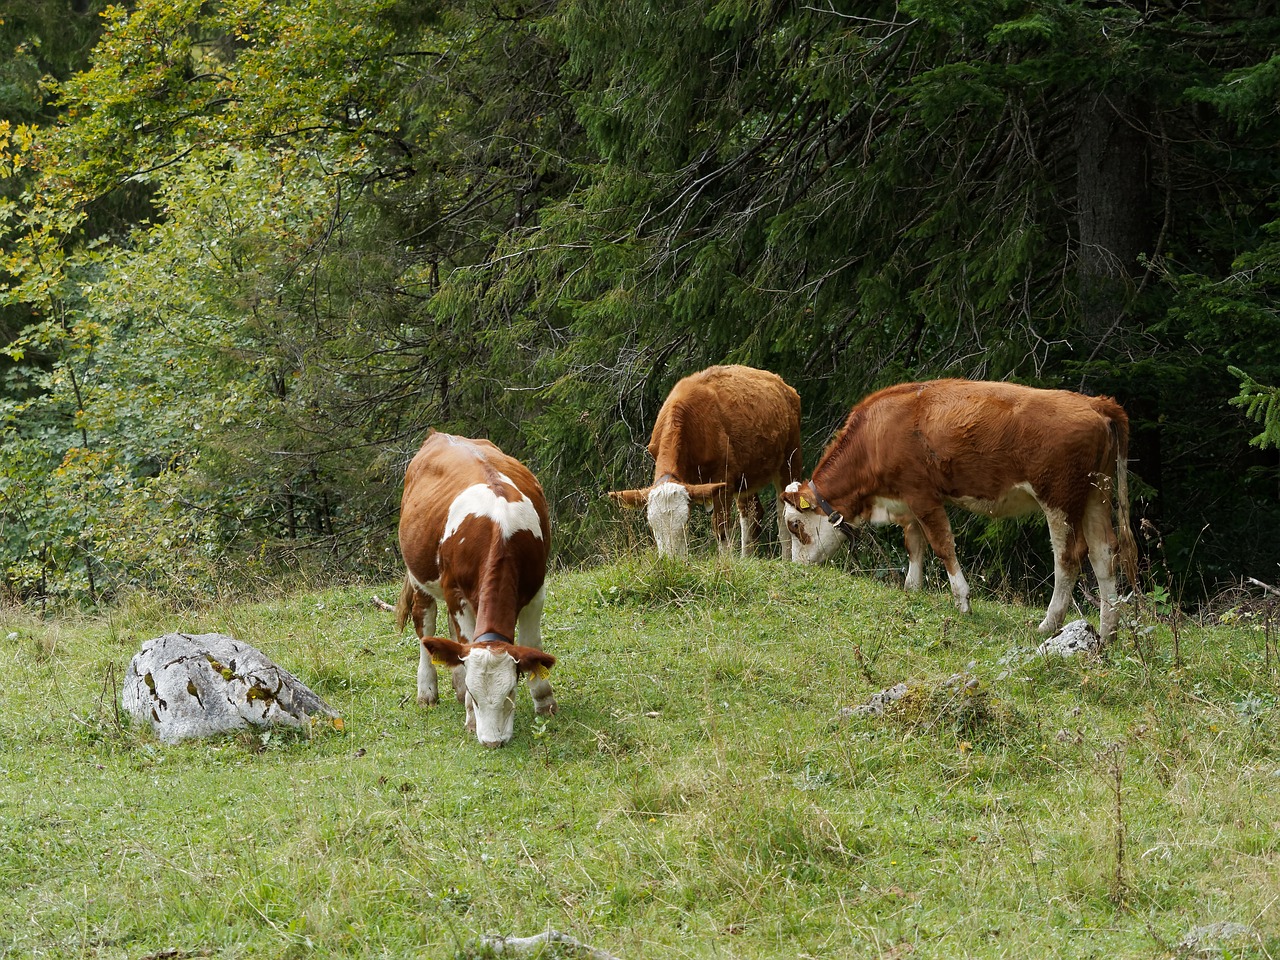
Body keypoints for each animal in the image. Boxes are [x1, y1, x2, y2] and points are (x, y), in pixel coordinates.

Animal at [396, 432, 558, 747]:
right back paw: (427, 691)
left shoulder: (536, 590)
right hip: (420, 576)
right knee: (426, 626)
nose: (492, 741)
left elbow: (532, 644)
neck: (501, 532)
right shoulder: (456, 594)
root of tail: (439, 434)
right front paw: (470, 715)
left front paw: (544, 701)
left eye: (510, 692)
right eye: (476, 694)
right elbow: (462, 641)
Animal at [609, 363, 798, 560]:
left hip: (790, 457)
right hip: (747, 476)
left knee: (784, 513)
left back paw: (787, 559)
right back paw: (746, 558)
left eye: (685, 523)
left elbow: (721, 527)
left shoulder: (723, 477)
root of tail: (783, 384)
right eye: (652, 525)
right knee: (751, 512)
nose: (671, 560)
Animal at [778, 378, 1141, 642]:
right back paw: (1108, 630)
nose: (795, 567)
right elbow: (914, 544)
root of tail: (1094, 402)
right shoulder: (906, 500)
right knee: (1104, 553)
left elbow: (942, 546)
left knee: (1068, 556)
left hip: (1060, 498)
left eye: (795, 525)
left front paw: (962, 600)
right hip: (1097, 494)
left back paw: (1049, 624)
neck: (875, 436)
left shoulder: (923, 495)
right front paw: (912, 589)